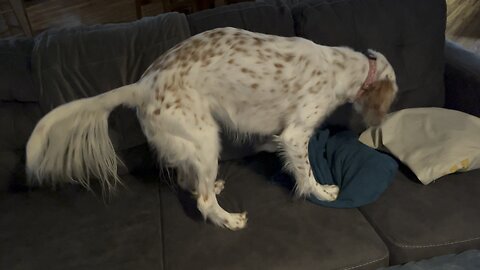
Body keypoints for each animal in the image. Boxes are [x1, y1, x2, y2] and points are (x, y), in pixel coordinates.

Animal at [25, 26, 398, 230]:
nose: (381, 125)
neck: (342, 67)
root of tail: (142, 85)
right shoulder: (295, 134)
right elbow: (305, 173)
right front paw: (321, 192)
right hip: (206, 140)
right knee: (202, 201)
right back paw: (229, 219)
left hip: (193, 143)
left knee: (186, 179)